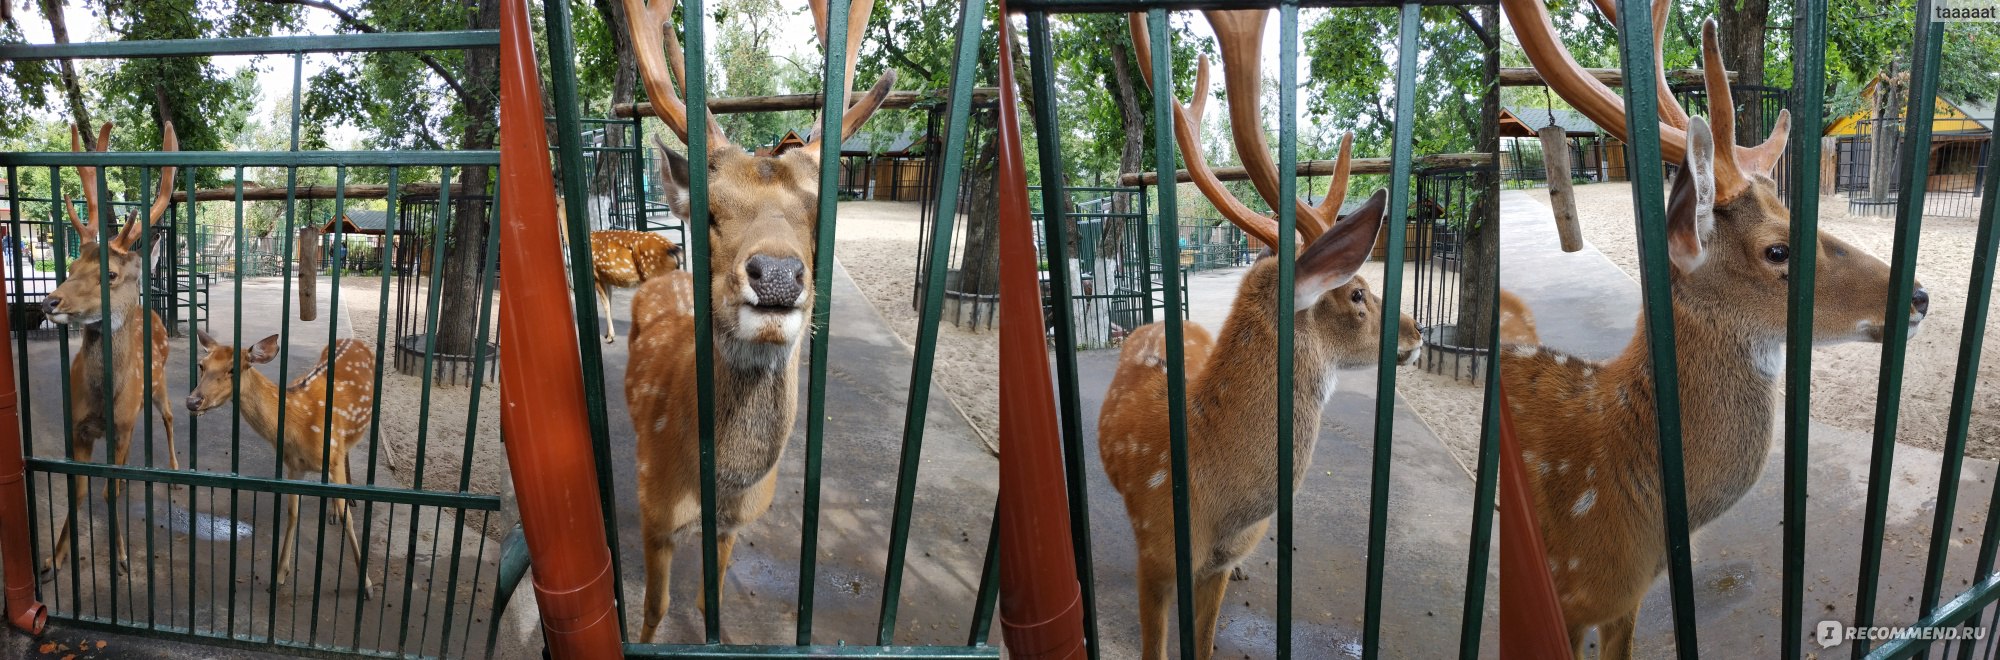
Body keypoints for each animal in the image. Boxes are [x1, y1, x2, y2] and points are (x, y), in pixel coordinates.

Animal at [38, 121, 182, 580]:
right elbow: (78, 489)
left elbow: (108, 492)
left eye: (112, 274)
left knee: (169, 418)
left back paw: (175, 473)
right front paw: (54, 559)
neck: (102, 398)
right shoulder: (77, 426)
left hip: (160, 381)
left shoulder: (120, 426)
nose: (49, 302)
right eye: (71, 266)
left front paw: (120, 558)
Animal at [187, 332, 378, 596]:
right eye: (201, 365)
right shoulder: (294, 465)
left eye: (233, 369)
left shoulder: (332, 456)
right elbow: (292, 513)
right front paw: (278, 575)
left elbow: (346, 518)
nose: (193, 401)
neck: (299, 424)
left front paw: (367, 584)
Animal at [612, 0, 888, 640]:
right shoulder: (654, 516)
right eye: (709, 212)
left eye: (819, 212)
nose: (779, 275)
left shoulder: (735, 527)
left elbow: (706, 600)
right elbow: (654, 609)